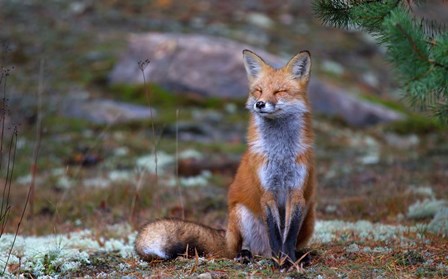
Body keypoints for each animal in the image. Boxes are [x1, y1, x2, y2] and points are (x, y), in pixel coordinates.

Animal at [134, 49, 316, 266]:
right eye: (258, 91)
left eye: (280, 91)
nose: (259, 104)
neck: (280, 154)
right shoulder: (267, 191)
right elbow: (275, 234)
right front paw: (280, 262)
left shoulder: (296, 192)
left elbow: (288, 236)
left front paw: (289, 261)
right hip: (240, 213)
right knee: (243, 248)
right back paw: (247, 255)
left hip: (309, 215)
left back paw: (301, 255)